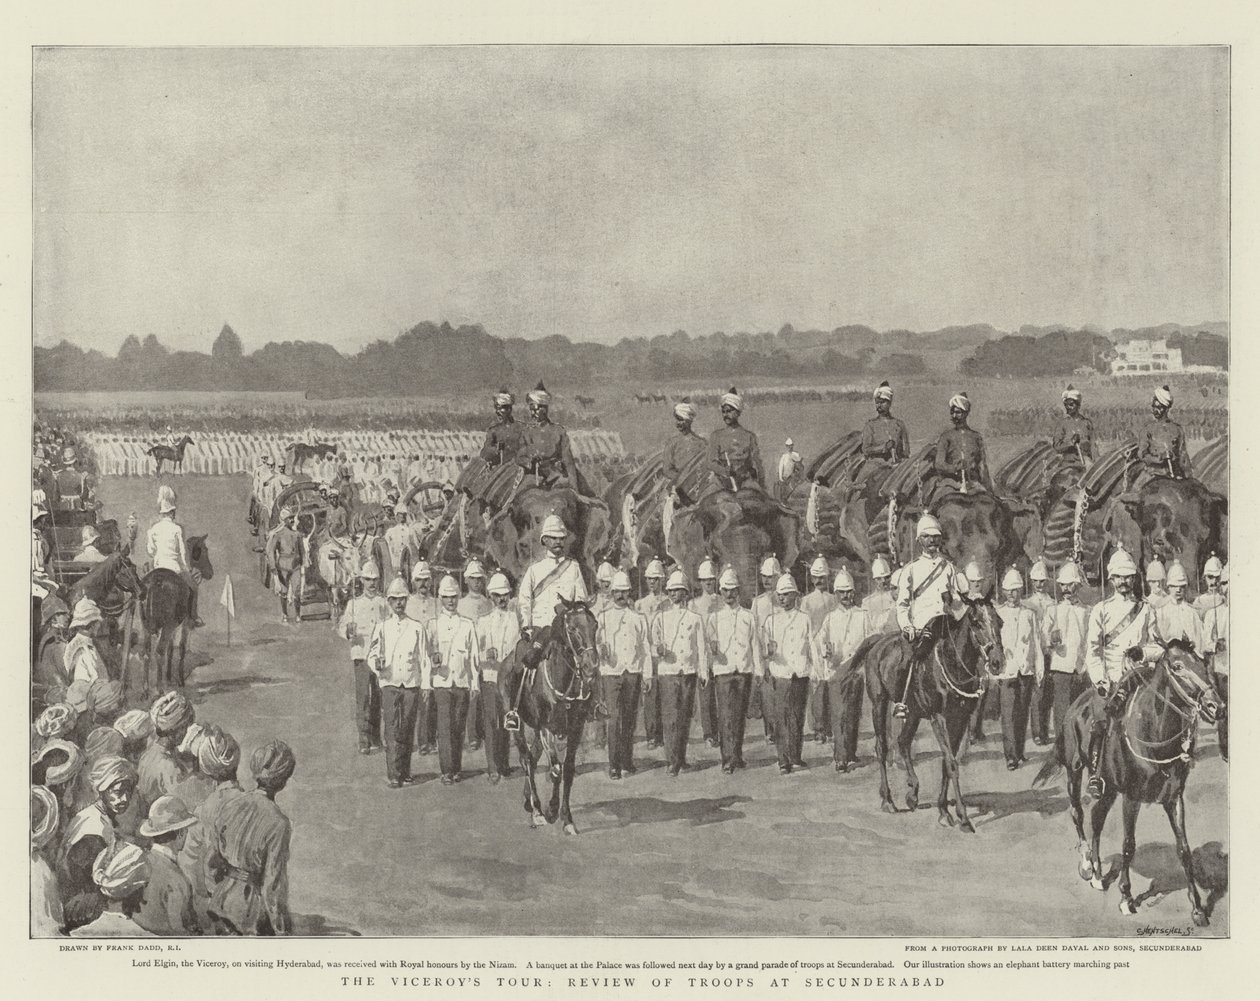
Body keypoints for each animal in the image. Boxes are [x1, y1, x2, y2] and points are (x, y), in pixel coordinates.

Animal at [1033, 642, 1219, 922]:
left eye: (1203, 663)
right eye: (1177, 666)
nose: (1215, 706)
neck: (1155, 734)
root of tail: (1077, 703)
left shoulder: (1174, 798)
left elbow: (1183, 849)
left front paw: (1197, 908)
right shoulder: (1131, 798)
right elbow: (1128, 846)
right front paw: (1126, 897)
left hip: (1109, 787)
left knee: (1096, 817)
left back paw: (1099, 874)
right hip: (1074, 771)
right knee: (1078, 813)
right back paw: (1087, 865)